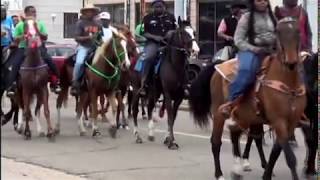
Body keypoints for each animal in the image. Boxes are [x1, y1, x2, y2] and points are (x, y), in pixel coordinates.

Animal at [190, 17, 308, 179]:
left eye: (297, 32)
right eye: (279, 32)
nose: (291, 62)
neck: (287, 83)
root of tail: (217, 65)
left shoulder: (291, 122)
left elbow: (276, 151)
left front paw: (266, 173)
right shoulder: (278, 121)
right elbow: (290, 158)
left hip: (246, 116)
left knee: (235, 134)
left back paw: (236, 169)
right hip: (220, 114)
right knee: (216, 142)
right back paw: (219, 174)